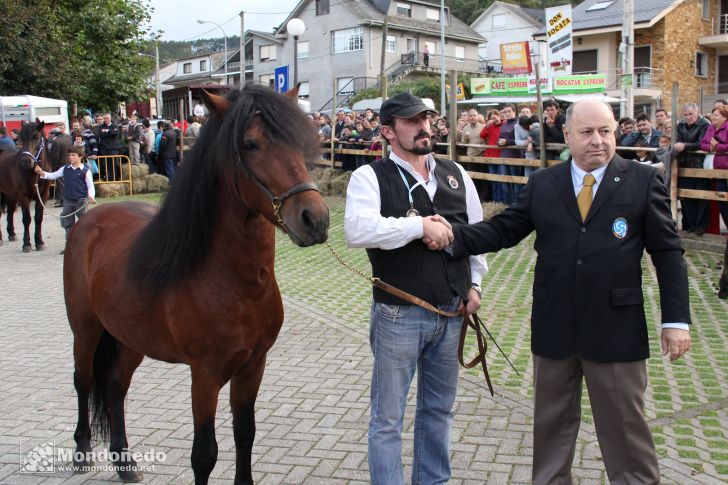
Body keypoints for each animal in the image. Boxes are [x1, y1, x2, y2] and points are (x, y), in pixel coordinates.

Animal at [0, 120, 51, 250]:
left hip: (11, 193)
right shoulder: (23, 196)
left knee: (10, 209)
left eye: (36, 137)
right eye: (20, 139)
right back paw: (0, 238)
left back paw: (12, 234)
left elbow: (38, 218)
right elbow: (26, 218)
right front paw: (27, 244)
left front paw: (39, 242)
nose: (26, 162)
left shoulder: (43, 195)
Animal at [64, 87, 330, 484]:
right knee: (83, 381)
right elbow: (204, 454)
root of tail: (88, 220)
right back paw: (82, 449)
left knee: (115, 387)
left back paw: (124, 462)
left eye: (300, 142)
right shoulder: (204, 375)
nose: (315, 219)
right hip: (86, 331)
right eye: (250, 143)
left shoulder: (253, 367)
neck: (236, 286)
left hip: (131, 339)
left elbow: (245, 434)